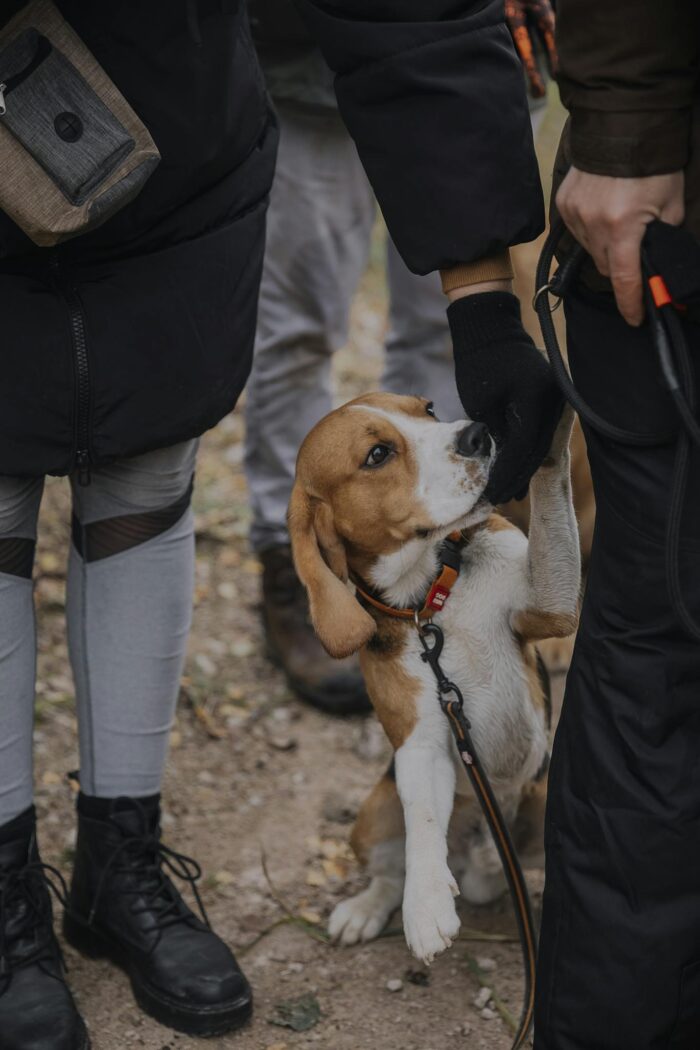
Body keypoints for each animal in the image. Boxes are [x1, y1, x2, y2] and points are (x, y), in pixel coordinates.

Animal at [289, 392, 579, 961]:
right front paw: (424, 906)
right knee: (390, 871)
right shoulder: (420, 742)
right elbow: (422, 816)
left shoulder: (552, 603)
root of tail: (481, 860)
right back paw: (367, 908)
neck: (430, 598)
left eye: (426, 408)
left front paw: (551, 416)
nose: (478, 434)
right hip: (371, 816)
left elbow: (551, 483)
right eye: (378, 454)